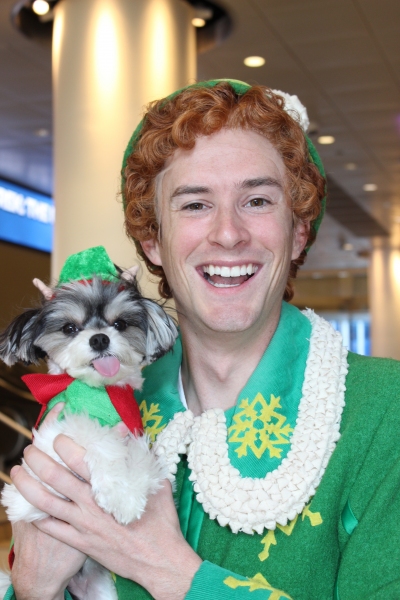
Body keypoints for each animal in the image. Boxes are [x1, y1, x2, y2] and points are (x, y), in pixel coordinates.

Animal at [0, 246, 177, 596]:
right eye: (69, 328)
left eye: (120, 324)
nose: (99, 339)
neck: (101, 392)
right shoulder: (54, 432)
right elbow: (97, 437)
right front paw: (119, 493)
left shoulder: (134, 431)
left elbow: (138, 457)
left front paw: (130, 492)